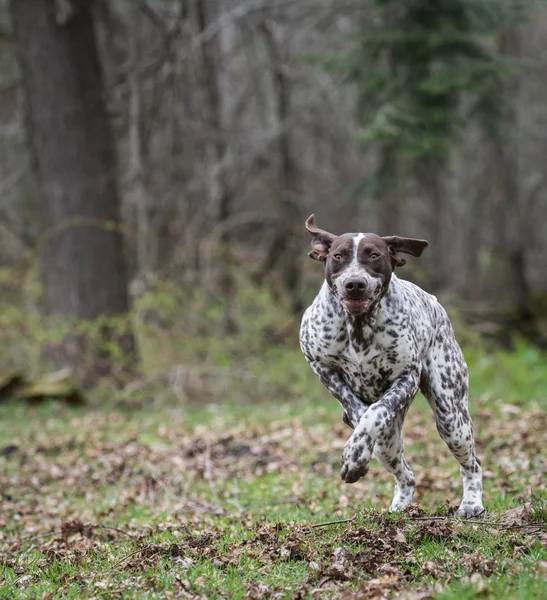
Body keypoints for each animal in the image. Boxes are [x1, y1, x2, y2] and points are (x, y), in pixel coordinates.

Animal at [302, 214, 486, 516]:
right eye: (338, 256)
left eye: (374, 255)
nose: (355, 284)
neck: (358, 326)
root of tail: (435, 303)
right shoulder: (321, 365)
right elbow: (358, 409)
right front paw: (355, 451)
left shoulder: (406, 378)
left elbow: (376, 411)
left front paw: (353, 455)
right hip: (389, 447)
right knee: (406, 474)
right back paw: (400, 505)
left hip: (452, 418)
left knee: (472, 464)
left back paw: (471, 503)